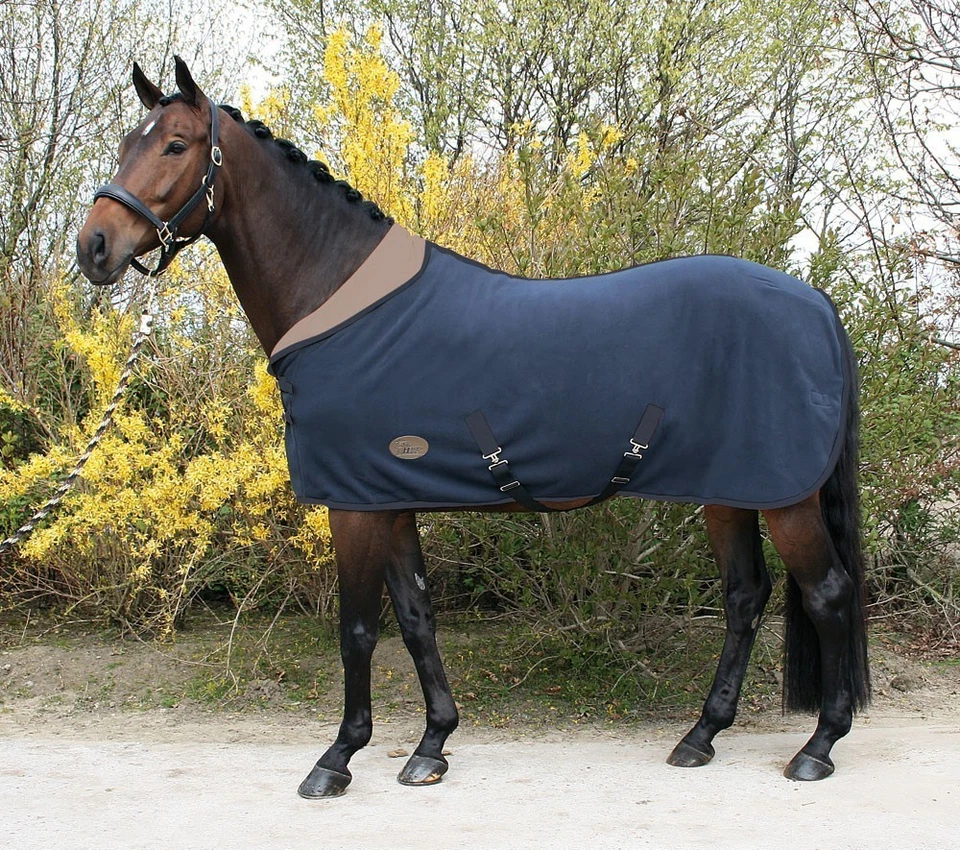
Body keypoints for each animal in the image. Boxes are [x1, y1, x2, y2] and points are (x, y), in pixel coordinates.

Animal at [77, 58, 870, 798]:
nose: (94, 247)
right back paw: (701, 734)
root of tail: (817, 306)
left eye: (176, 144)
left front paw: (337, 759)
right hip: (731, 492)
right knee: (745, 597)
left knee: (829, 594)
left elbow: (357, 632)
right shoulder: (388, 500)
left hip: (784, 497)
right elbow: (416, 617)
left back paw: (819, 746)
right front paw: (432, 745)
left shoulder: (352, 506)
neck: (337, 299)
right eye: (124, 143)